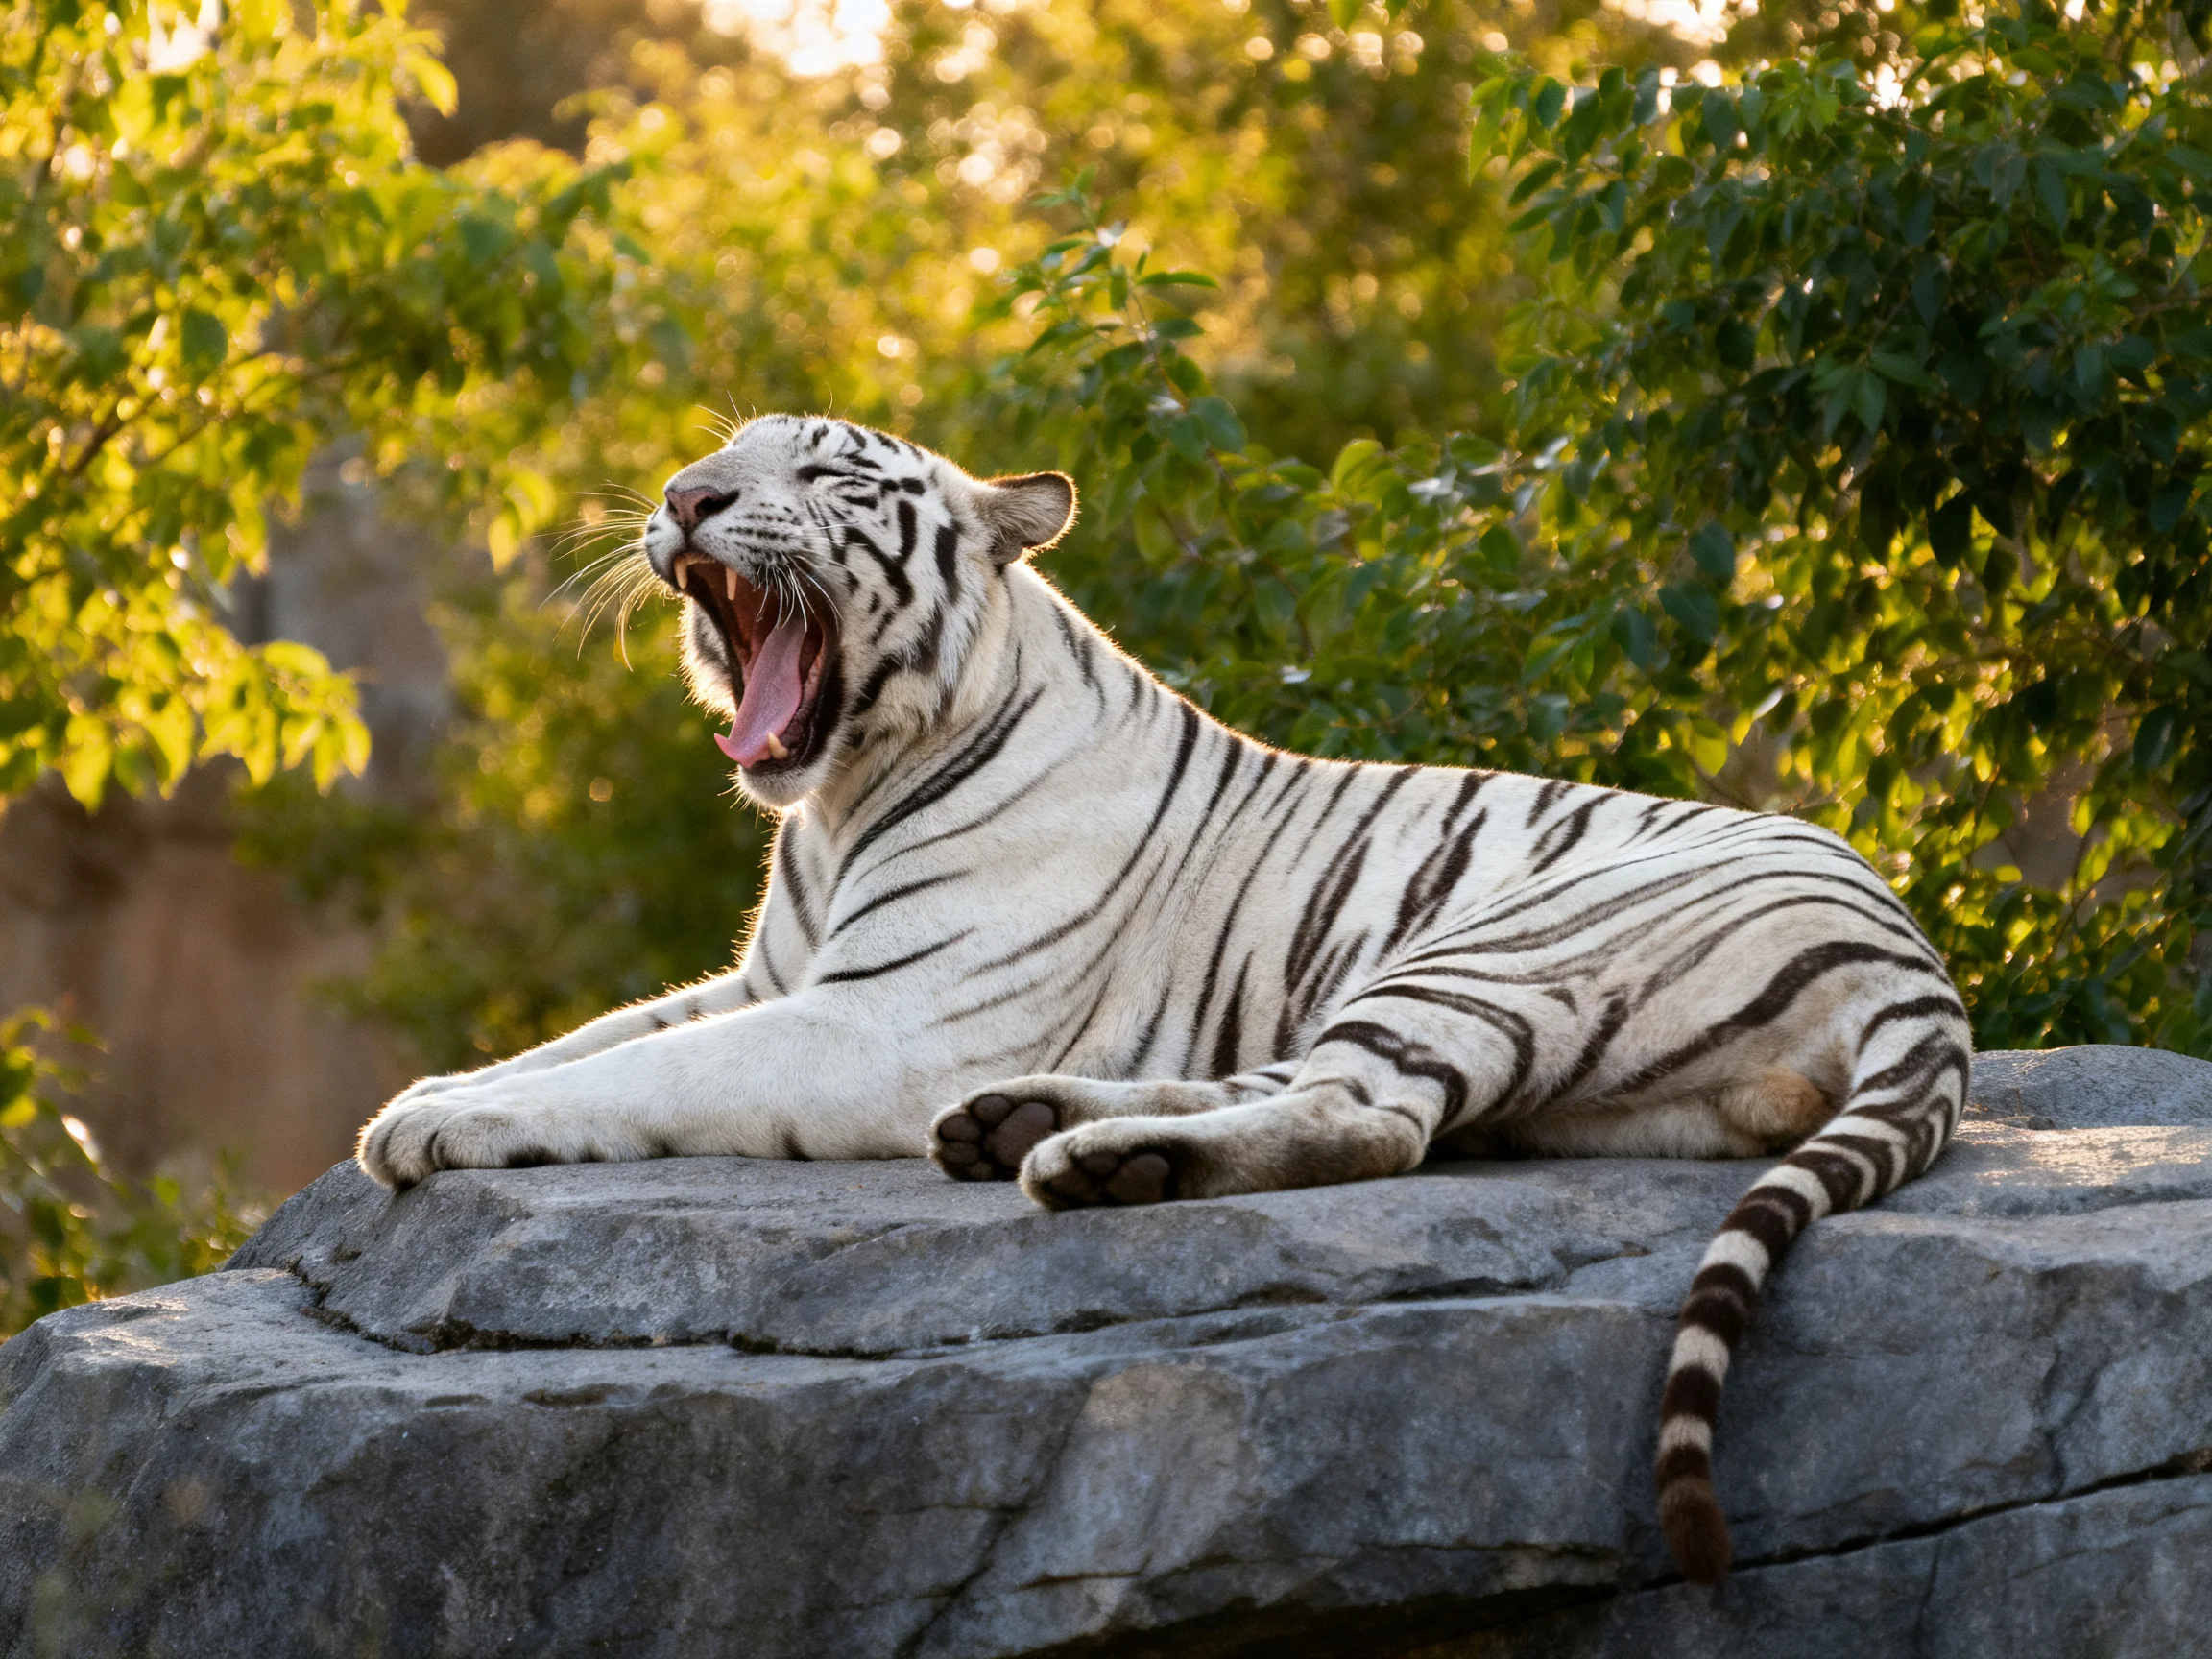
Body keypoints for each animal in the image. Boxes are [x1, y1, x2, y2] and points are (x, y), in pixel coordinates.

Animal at [357, 413, 1973, 1585]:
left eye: (819, 472)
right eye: (720, 459)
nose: (684, 502)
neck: (842, 795)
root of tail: (1911, 954)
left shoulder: (874, 1021)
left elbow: (633, 1078)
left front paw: (432, 1133)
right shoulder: (772, 977)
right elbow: (588, 1040)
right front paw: (431, 1093)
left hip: (1493, 948)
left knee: (1368, 1121)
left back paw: (1087, 1167)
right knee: (1313, 1093)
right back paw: (1029, 1131)